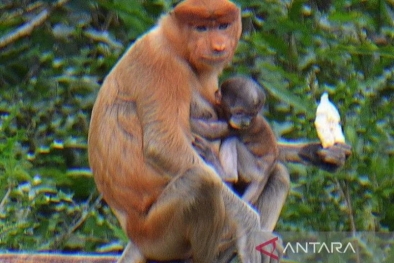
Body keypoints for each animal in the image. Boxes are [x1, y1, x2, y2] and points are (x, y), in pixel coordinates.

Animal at [192, 76, 278, 204]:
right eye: (239, 112)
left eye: (251, 114)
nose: (245, 122)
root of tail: (267, 171)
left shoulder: (239, 129)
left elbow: (207, 130)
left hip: (255, 168)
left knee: (232, 141)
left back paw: (227, 174)